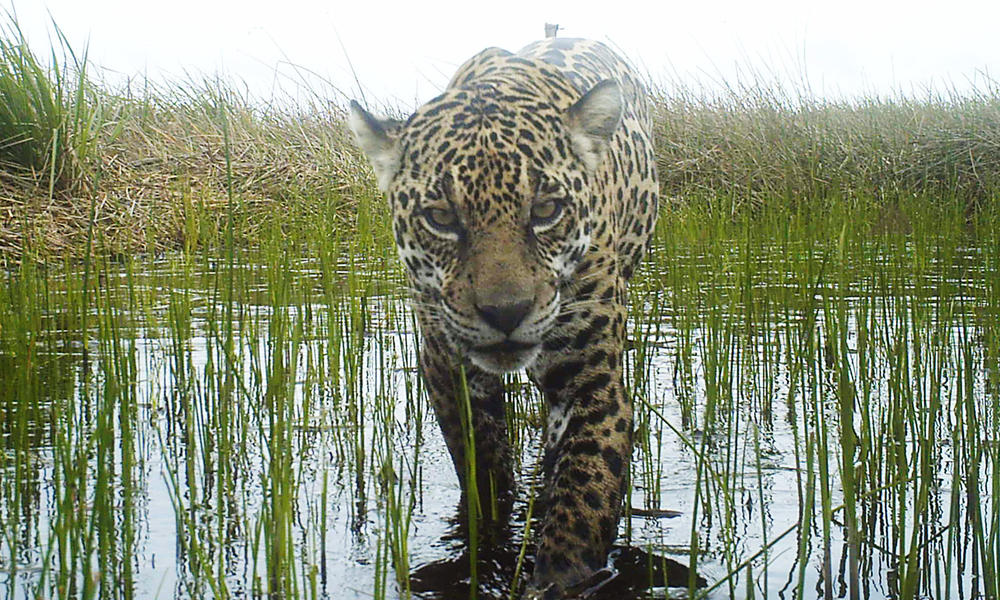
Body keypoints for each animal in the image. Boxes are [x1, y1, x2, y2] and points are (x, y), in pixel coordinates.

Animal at [348, 37, 659, 599]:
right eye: (441, 218)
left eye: (546, 210)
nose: (506, 312)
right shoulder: (448, 367)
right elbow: (482, 469)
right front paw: (488, 542)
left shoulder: (593, 381)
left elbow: (584, 497)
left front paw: (560, 579)